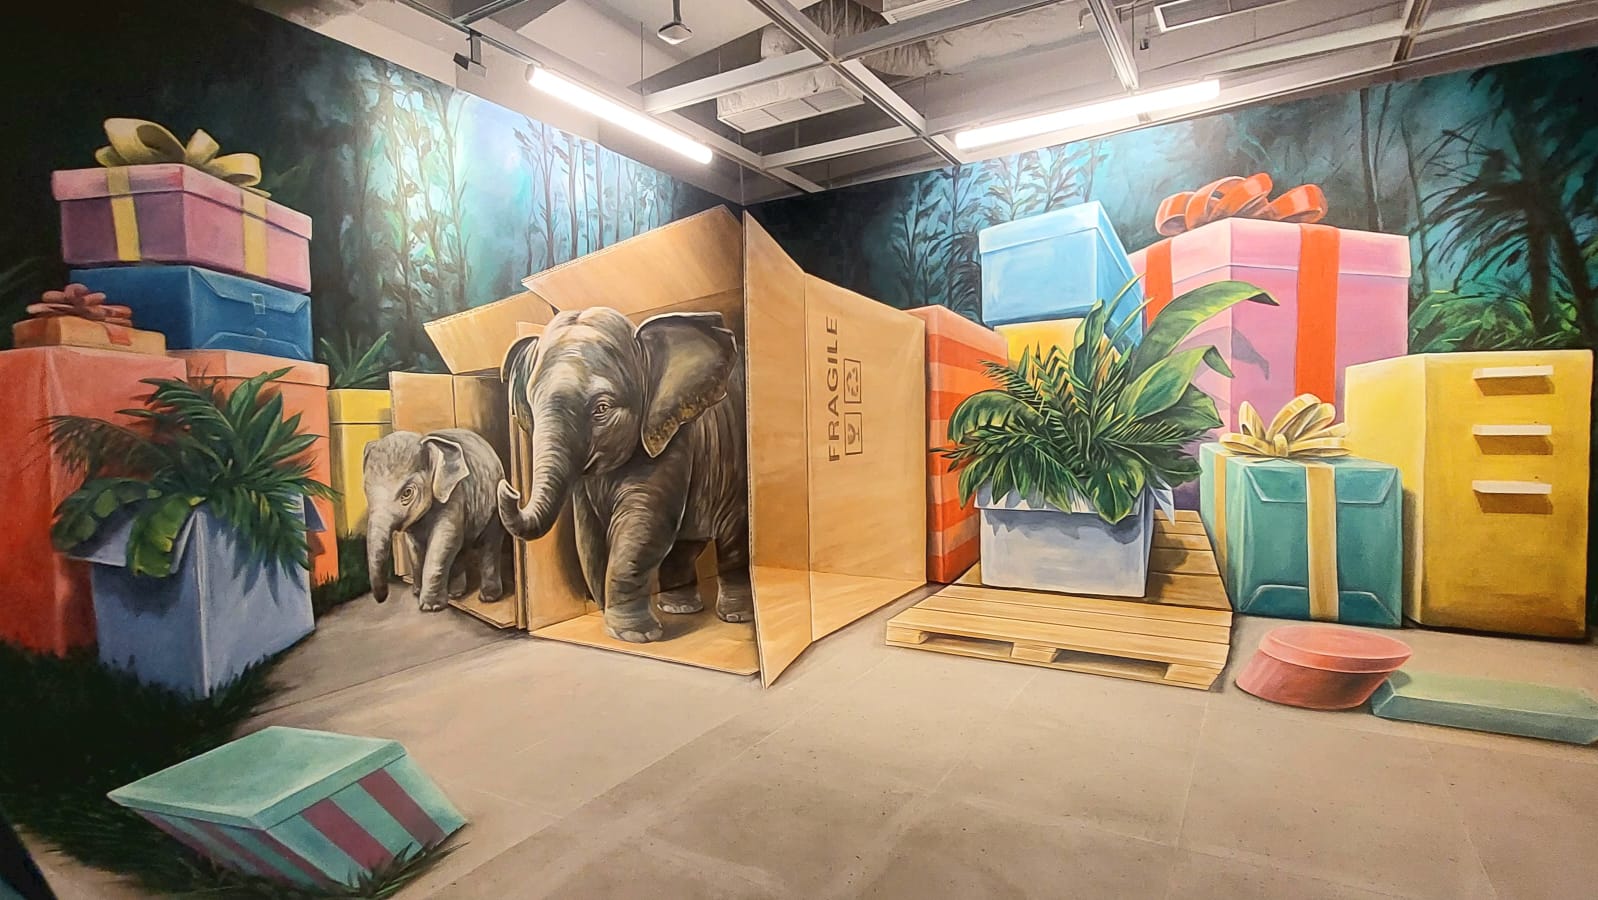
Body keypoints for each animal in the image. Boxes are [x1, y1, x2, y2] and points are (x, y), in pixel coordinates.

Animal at [364, 428, 508, 612]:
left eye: (407, 492)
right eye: (365, 489)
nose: (382, 600)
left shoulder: (454, 494)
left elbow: (444, 540)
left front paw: (430, 607)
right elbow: (415, 546)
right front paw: (417, 593)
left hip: (495, 501)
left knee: (489, 543)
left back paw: (488, 598)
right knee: (460, 549)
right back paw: (456, 594)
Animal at [497, 307, 750, 643]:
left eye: (602, 408)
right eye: (531, 405)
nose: (509, 488)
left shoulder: (672, 439)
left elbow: (642, 525)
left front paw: (633, 636)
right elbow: (587, 535)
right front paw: (615, 623)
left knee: (732, 538)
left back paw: (735, 617)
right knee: (685, 543)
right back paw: (679, 609)